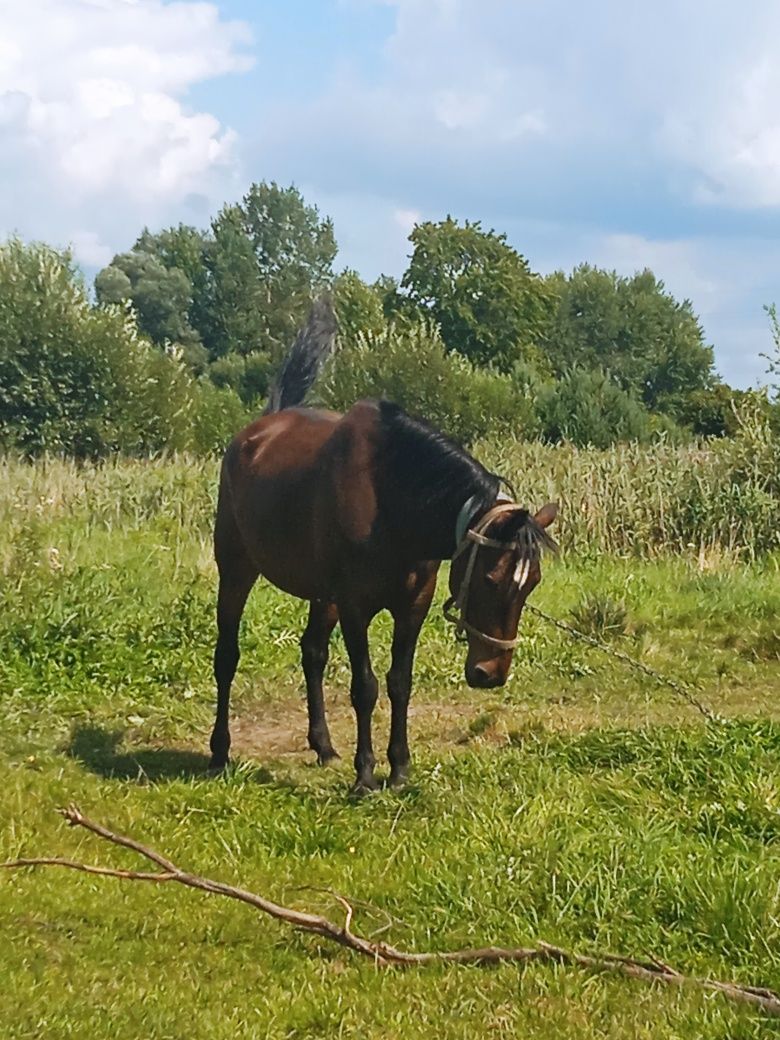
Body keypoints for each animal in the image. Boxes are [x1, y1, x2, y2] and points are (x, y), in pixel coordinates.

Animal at [211, 301, 557, 794]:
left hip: (323, 594)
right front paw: (365, 774)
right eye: (491, 579)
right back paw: (219, 751)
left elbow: (399, 682)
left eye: (531, 585)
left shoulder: (413, 603)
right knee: (227, 656)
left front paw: (399, 768)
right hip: (237, 568)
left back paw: (323, 746)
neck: (393, 499)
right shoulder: (355, 606)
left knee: (312, 653)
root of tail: (257, 432)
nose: (490, 674)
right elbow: (366, 687)